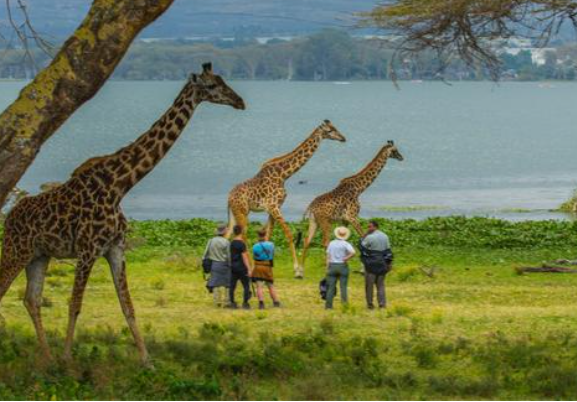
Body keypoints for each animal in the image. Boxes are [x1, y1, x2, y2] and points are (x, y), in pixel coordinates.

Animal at [0, 62, 245, 364]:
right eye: (211, 86)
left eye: (223, 81)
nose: (239, 101)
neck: (120, 185)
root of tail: (10, 216)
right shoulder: (88, 249)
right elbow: (75, 304)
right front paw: (68, 358)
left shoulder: (115, 248)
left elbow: (128, 305)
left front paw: (147, 361)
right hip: (17, 250)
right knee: (6, 290)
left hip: (39, 255)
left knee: (31, 299)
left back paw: (46, 358)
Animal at [228, 119, 346, 276]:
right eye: (329, 130)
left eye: (335, 127)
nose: (343, 138)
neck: (284, 175)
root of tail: (229, 197)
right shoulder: (274, 207)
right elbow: (289, 234)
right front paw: (296, 268)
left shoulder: (273, 208)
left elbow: (268, 235)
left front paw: (267, 264)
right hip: (241, 212)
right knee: (242, 235)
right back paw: (250, 267)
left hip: (239, 212)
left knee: (230, 234)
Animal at [300, 140, 402, 274]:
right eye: (395, 150)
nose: (401, 157)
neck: (360, 188)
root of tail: (310, 207)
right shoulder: (352, 216)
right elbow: (363, 237)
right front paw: (362, 268)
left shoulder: (345, 220)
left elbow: (345, 240)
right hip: (325, 222)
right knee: (325, 242)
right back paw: (326, 267)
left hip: (314, 221)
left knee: (307, 241)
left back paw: (300, 270)